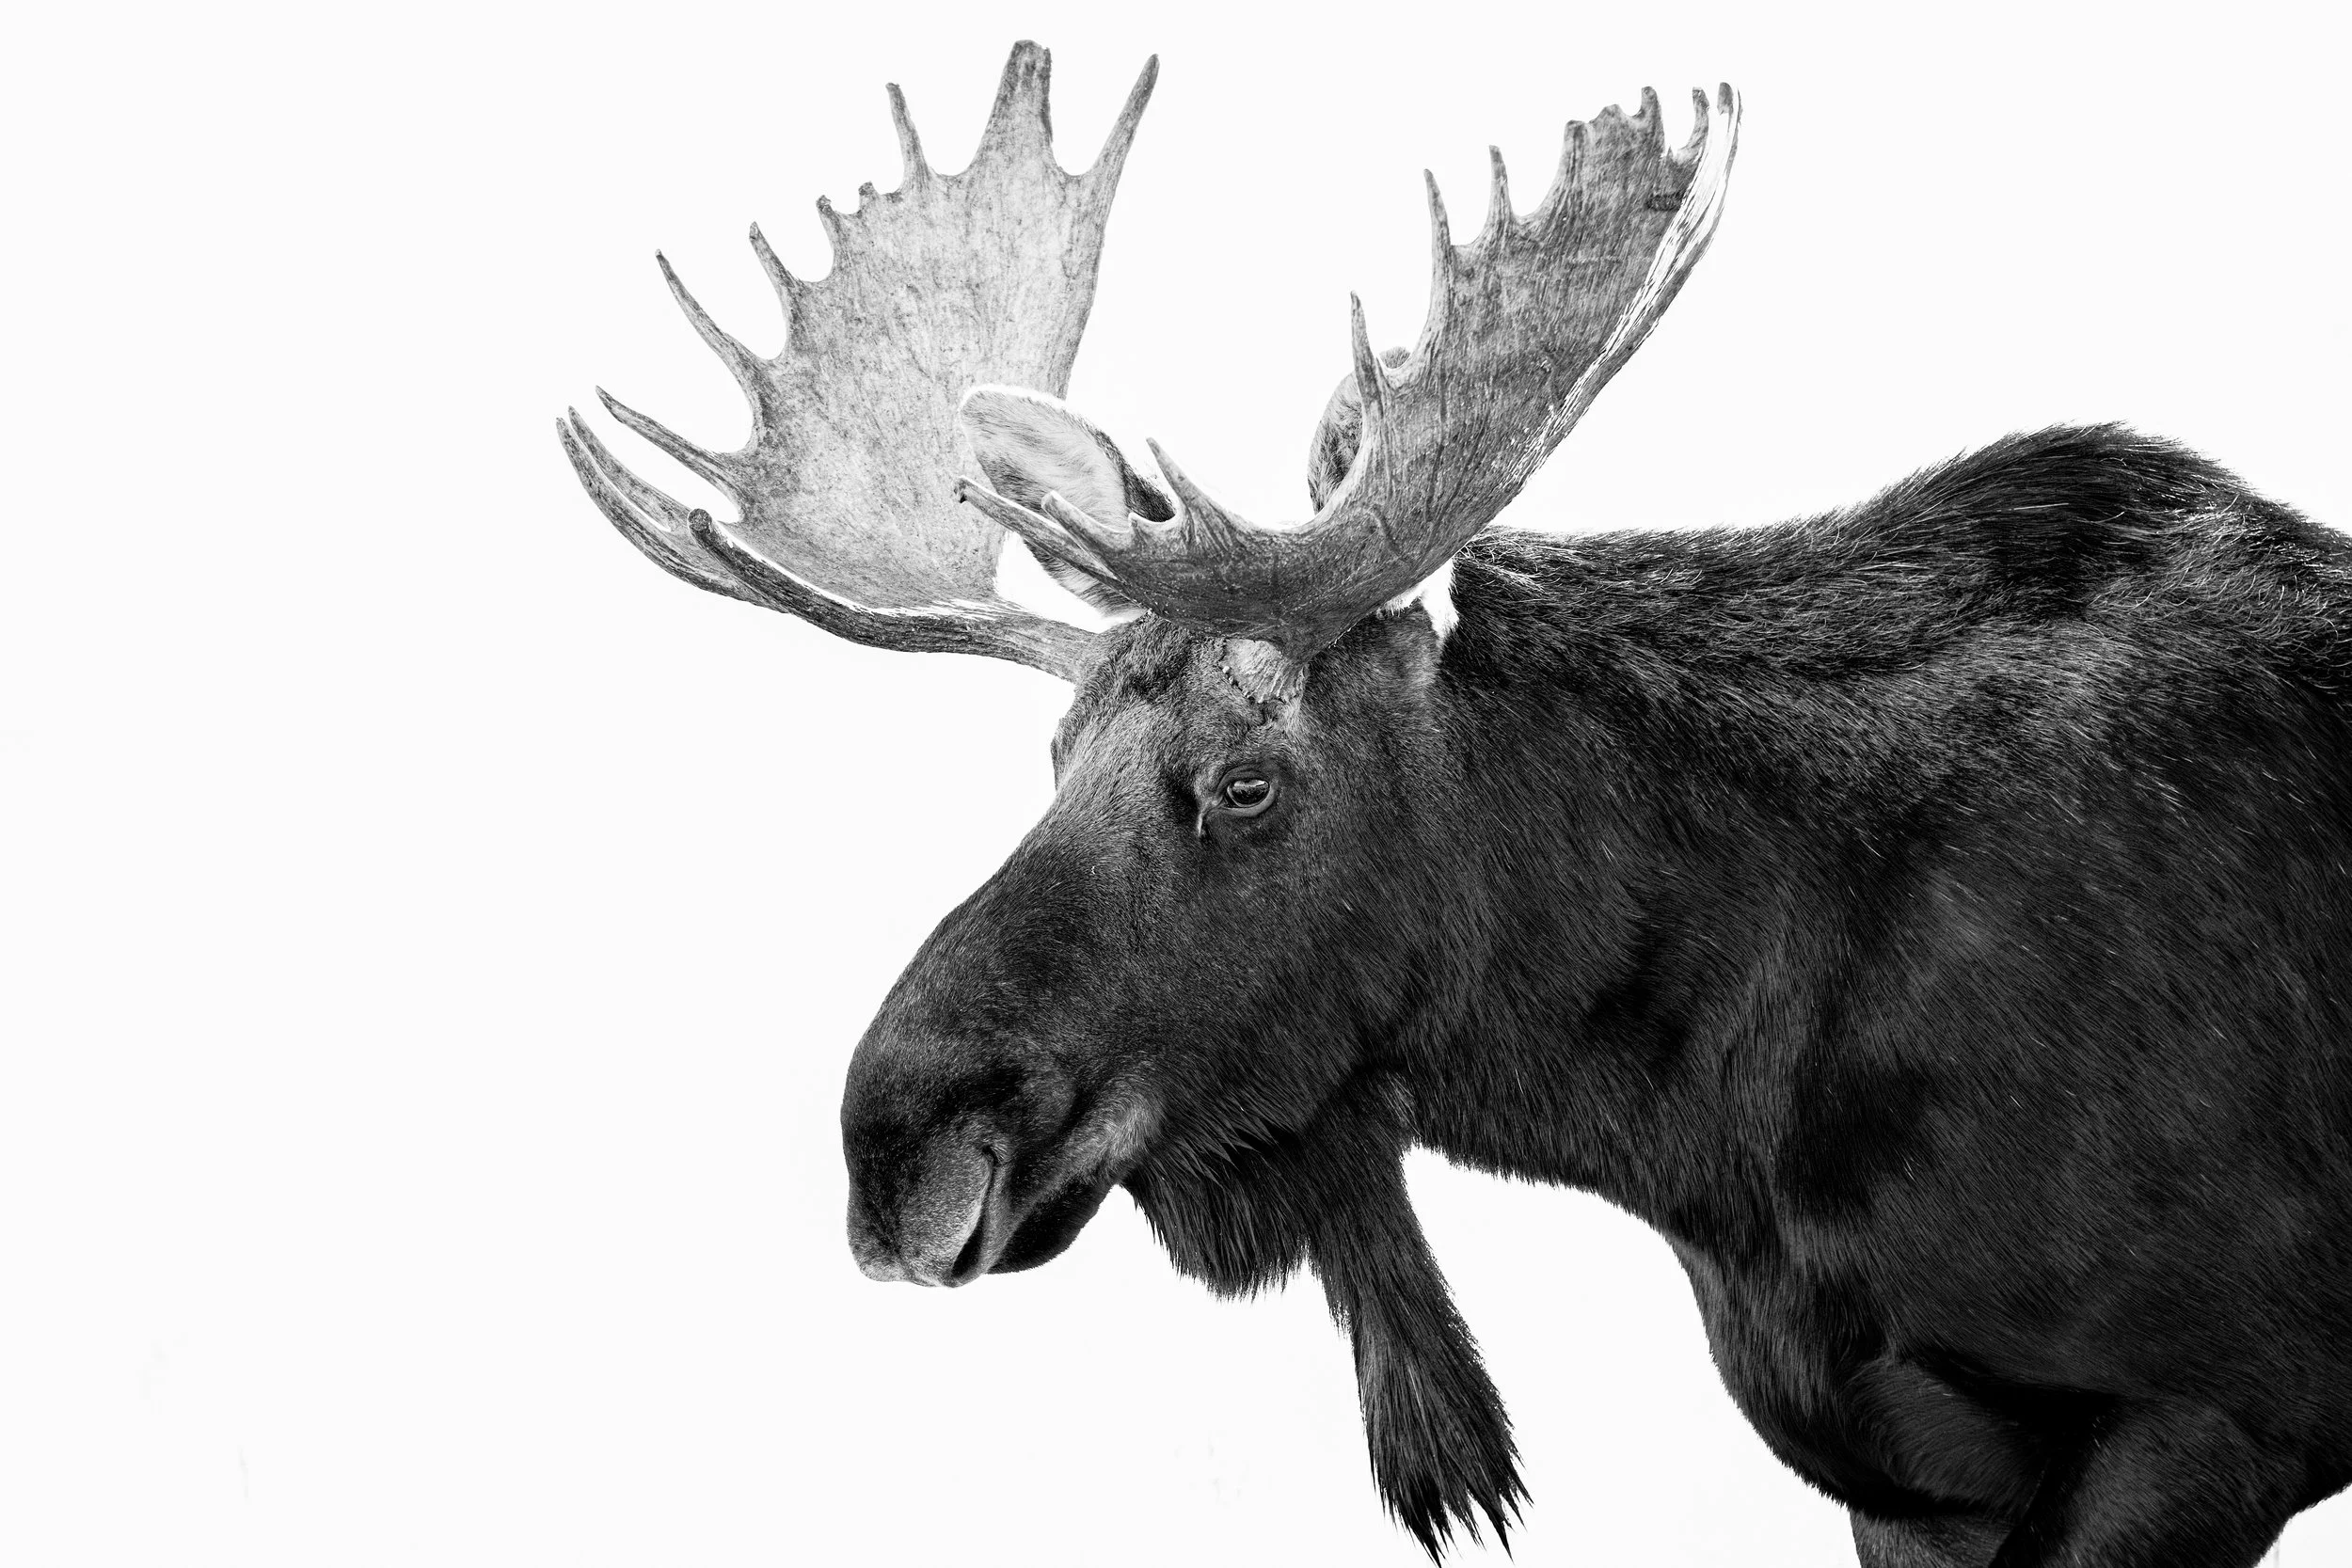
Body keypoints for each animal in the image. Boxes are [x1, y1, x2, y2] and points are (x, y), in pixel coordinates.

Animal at [557, 42, 2352, 1567]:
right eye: (1051, 758)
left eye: (1248, 781)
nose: (896, 1145)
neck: (1717, 1123)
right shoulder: (1900, 1468)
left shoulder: (2208, 1419)